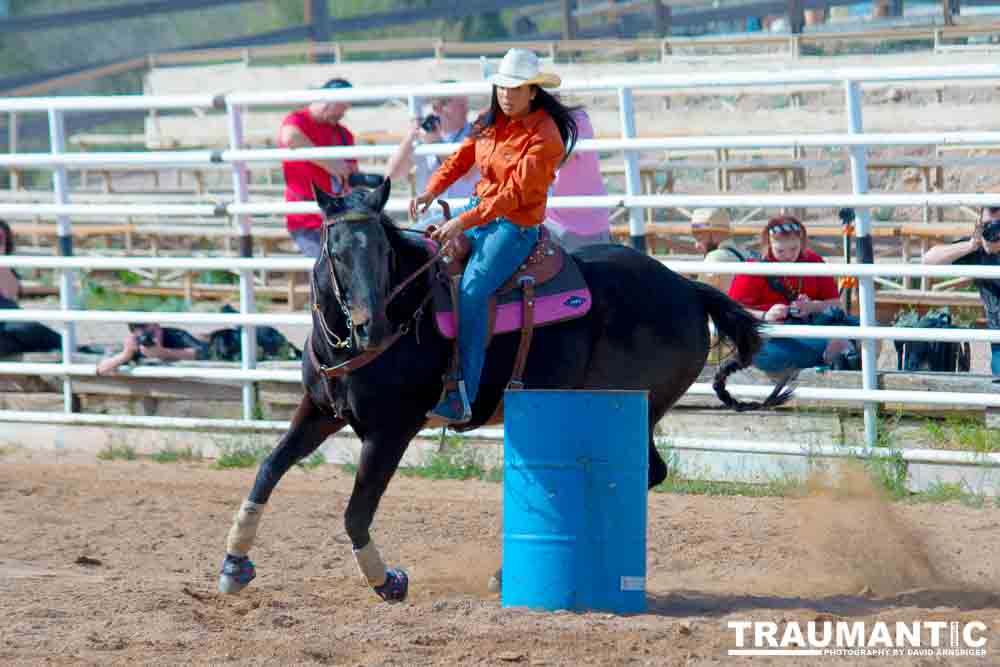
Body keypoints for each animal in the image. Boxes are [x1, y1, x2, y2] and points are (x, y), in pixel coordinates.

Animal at [219, 180, 788, 604]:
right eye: (335, 252)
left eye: (382, 250)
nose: (370, 327)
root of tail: (686, 288)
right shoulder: (319, 411)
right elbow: (268, 470)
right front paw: (234, 563)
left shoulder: (391, 431)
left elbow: (356, 511)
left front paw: (387, 582)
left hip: (635, 406)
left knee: (647, 472)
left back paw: (510, 572)